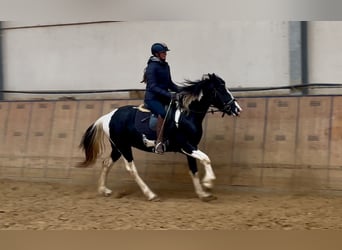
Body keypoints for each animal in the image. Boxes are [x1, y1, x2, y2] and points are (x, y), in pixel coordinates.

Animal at [79, 73, 242, 201]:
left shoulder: (191, 147)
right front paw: (208, 182)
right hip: (124, 147)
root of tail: (108, 116)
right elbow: (206, 159)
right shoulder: (186, 145)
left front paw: (203, 194)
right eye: (220, 89)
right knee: (131, 169)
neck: (187, 116)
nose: (237, 109)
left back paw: (104, 190)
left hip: (117, 148)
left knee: (106, 163)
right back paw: (150, 194)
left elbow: (194, 170)